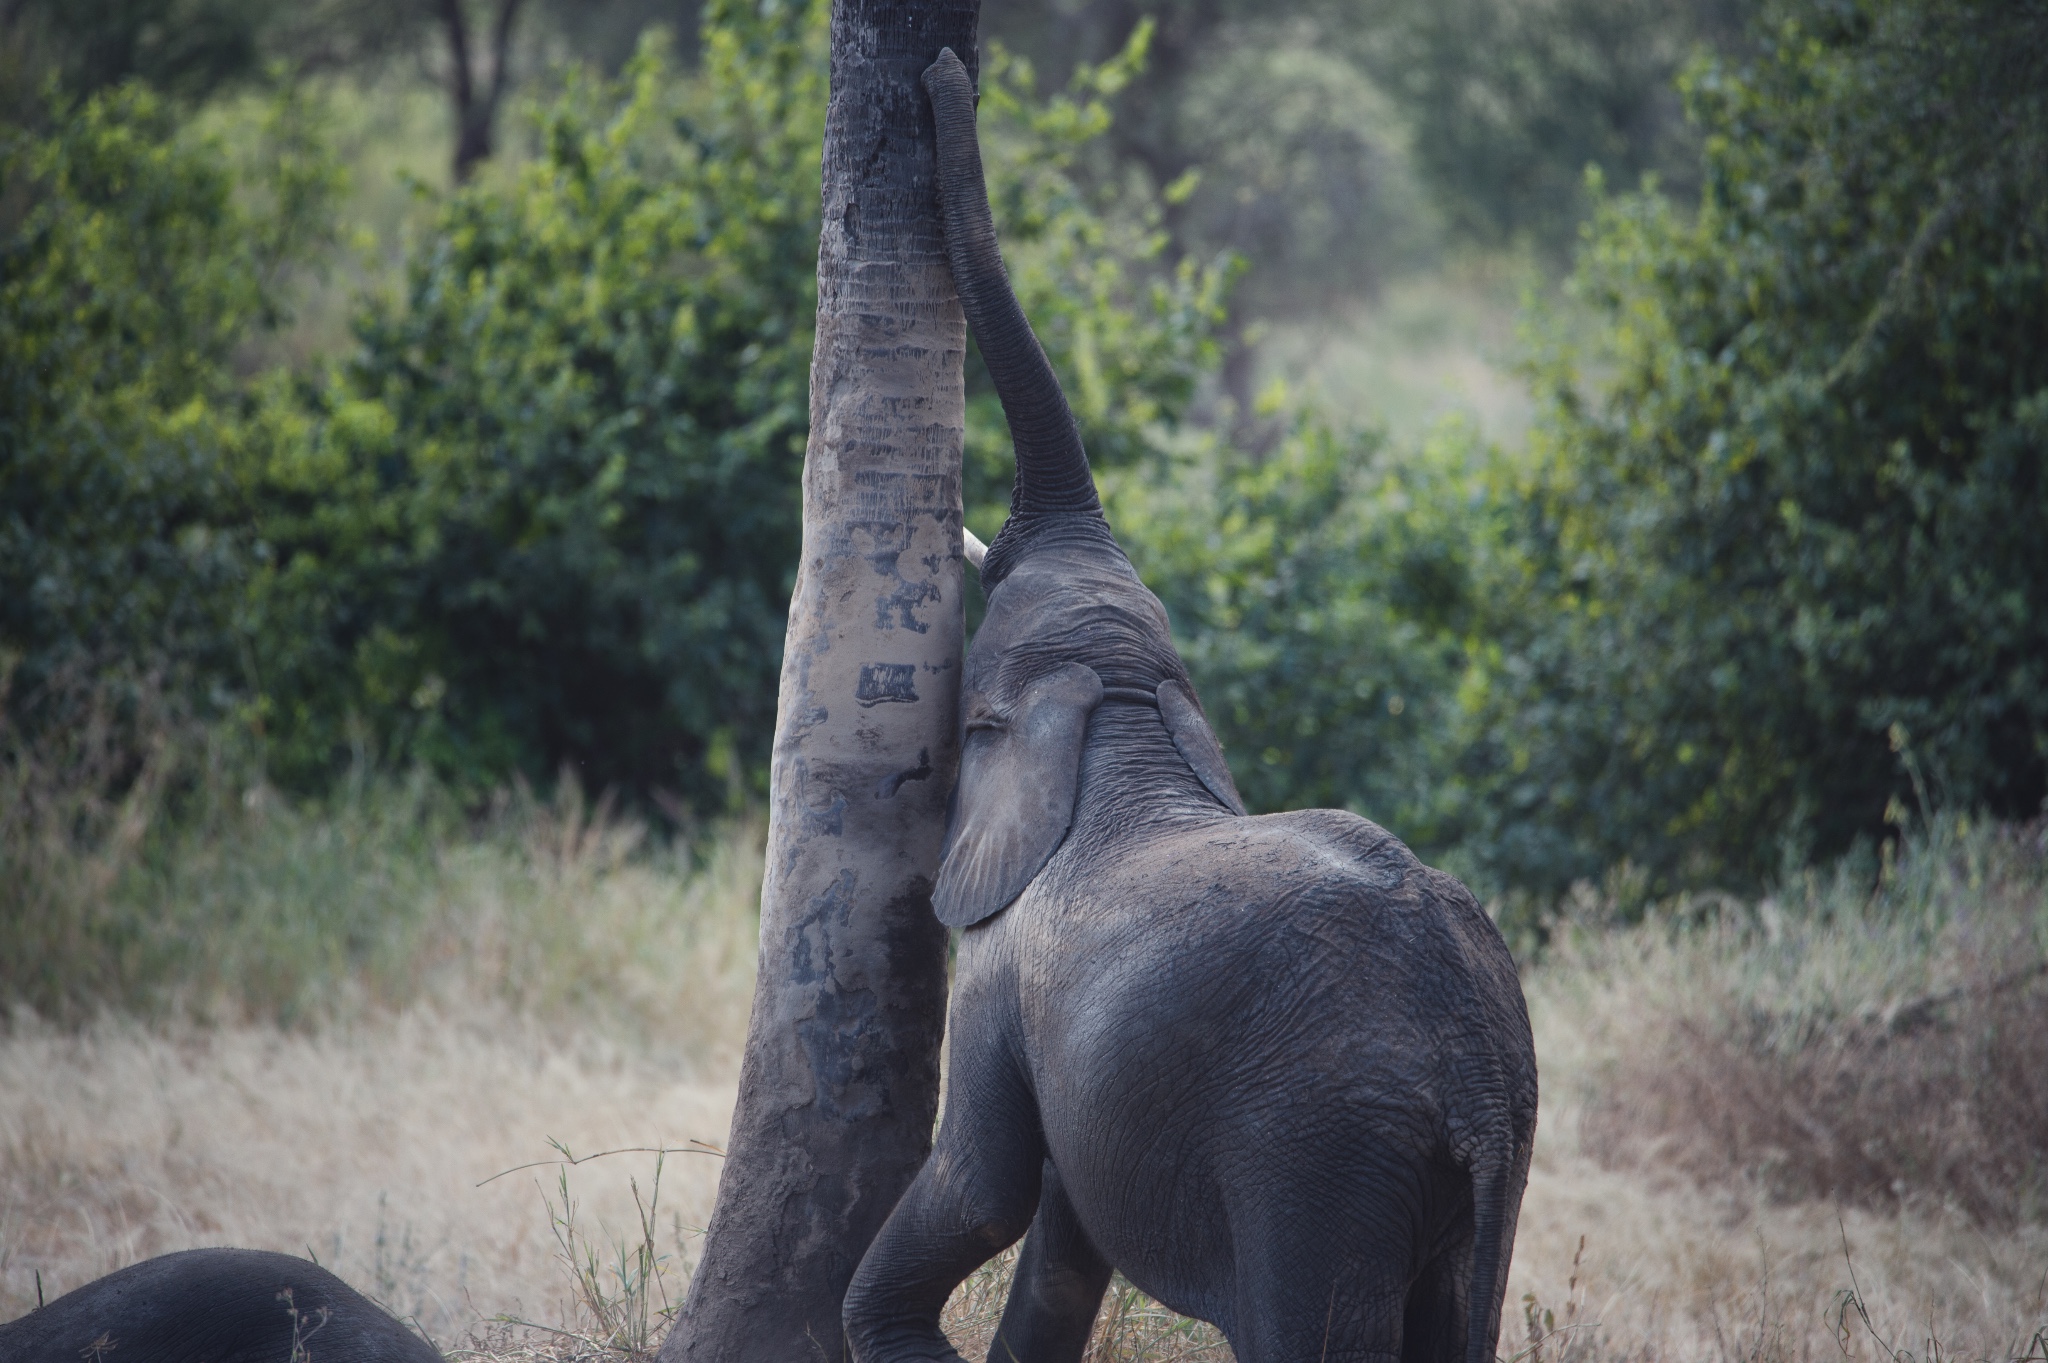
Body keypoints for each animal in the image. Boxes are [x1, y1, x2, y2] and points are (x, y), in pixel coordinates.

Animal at [835, 47, 1540, 1358]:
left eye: (970, 721)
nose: (950, 67)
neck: (1119, 713)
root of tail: (1469, 1074)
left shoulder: (1005, 983)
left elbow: (984, 1180)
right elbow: (1061, 1246)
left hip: (1316, 1158)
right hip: (1487, 1169)